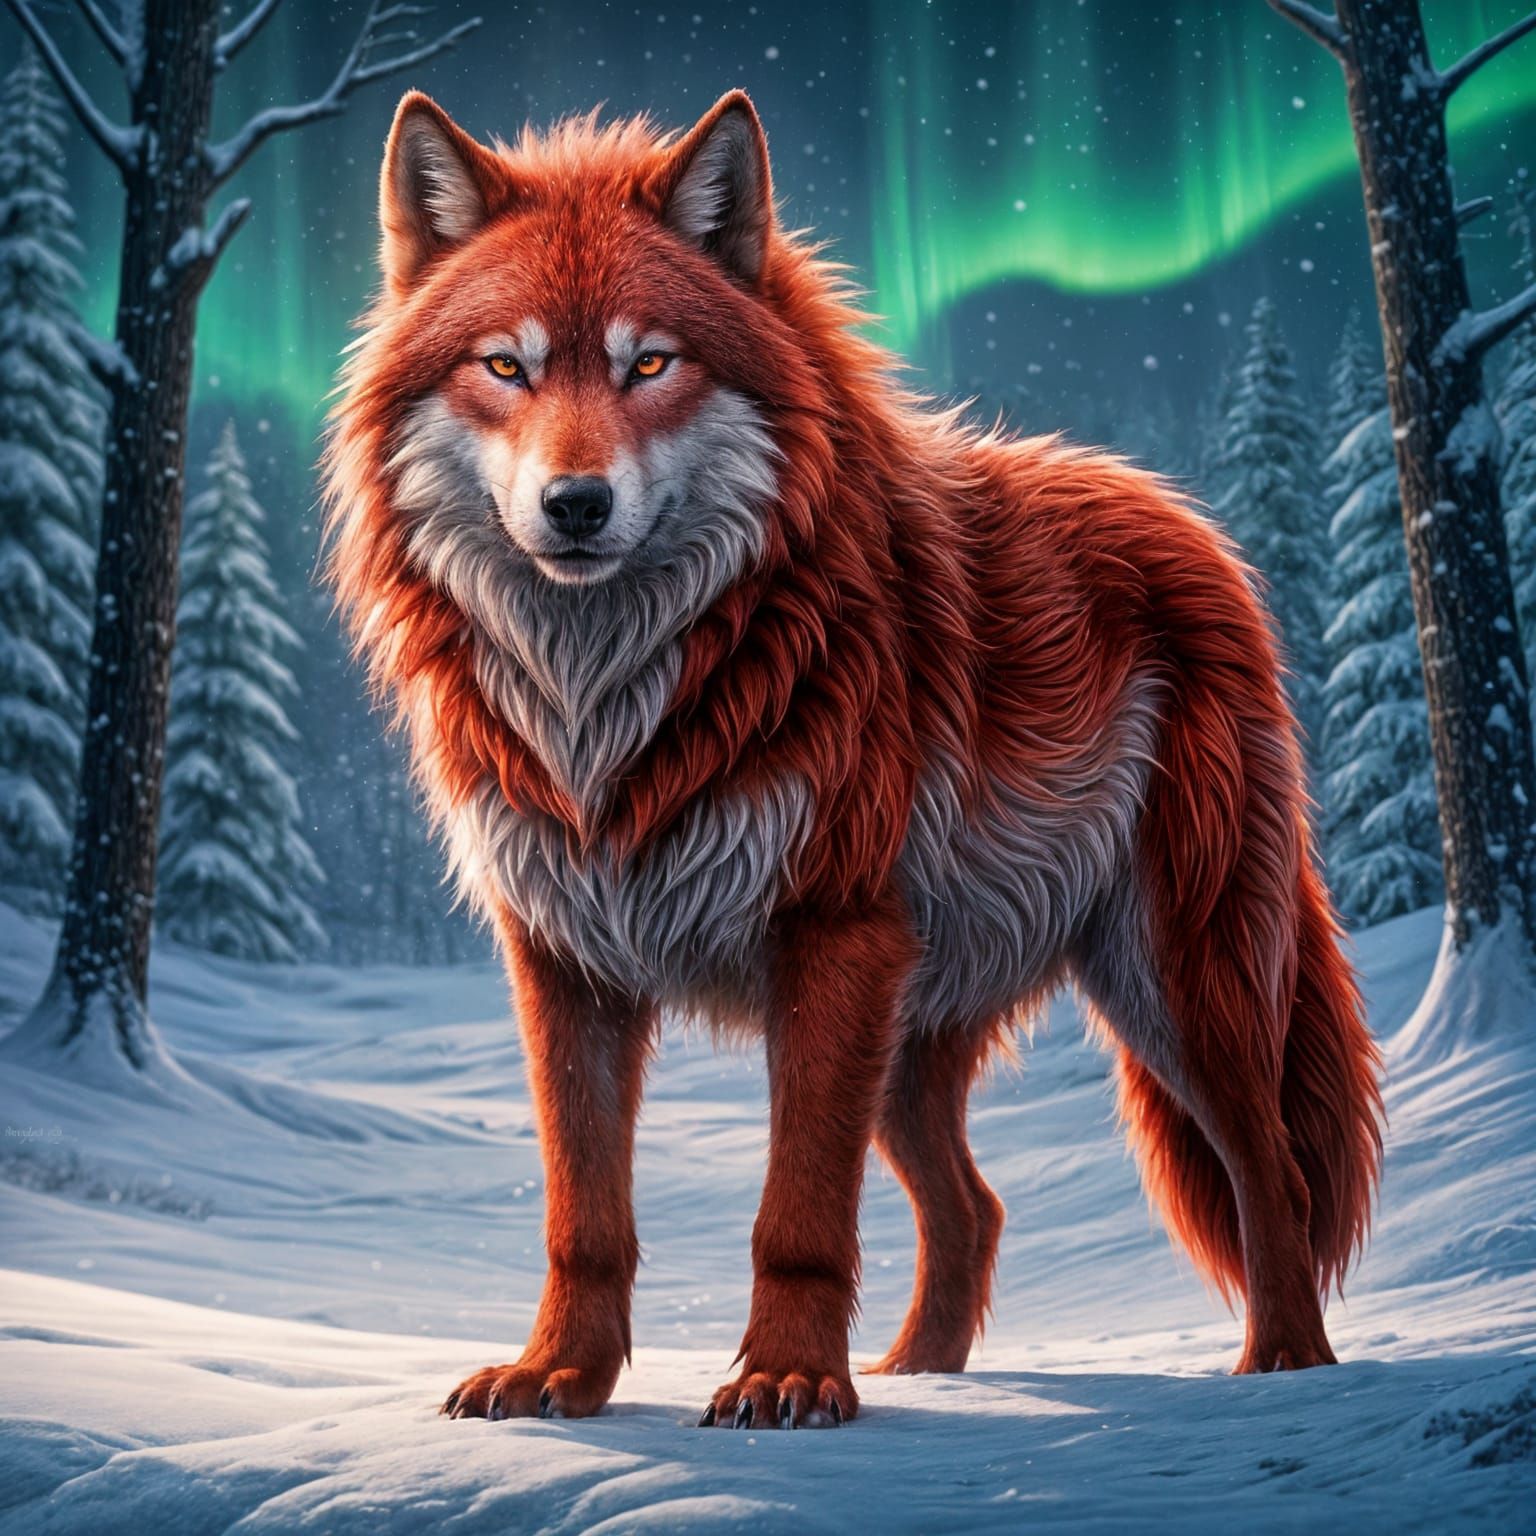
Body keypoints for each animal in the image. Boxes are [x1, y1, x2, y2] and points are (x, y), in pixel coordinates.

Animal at [324, 88, 1383, 1430]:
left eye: (649, 363)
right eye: (504, 367)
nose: (575, 505)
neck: (612, 693)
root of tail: (1186, 522)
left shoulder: (829, 935)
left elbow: (798, 1217)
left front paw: (785, 1379)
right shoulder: (565, 960)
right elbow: (584, 1213)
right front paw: (561, 1375)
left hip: (1173, 983)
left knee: (1268, 1173)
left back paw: (1284, 1370)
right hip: (913, 1041)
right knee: (976, 1206)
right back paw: (922, 1373)